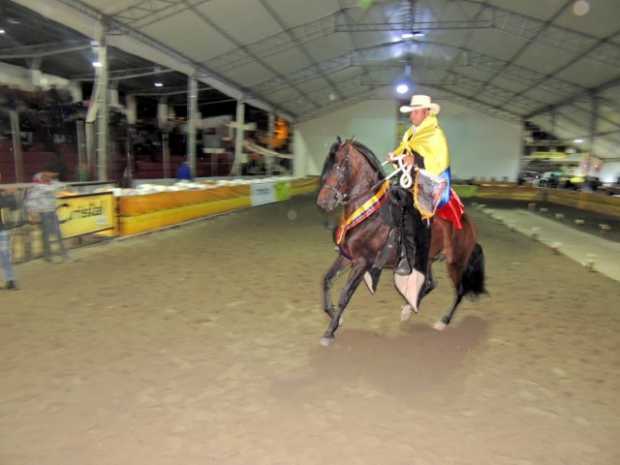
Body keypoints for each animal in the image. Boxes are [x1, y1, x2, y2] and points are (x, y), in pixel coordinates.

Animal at [318, 138, 486, 344]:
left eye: (340, 167)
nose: (322, 202)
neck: (369, 213)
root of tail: (467, 221)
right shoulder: (347, 257)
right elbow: (327, 280)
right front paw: (335, 316)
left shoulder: (362, 262)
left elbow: (345, 294)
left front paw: (329, 331)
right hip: (427, 259)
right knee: (430, 283)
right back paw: (408, 309)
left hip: (455, 262)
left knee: (460, 290)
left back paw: (443, 321)